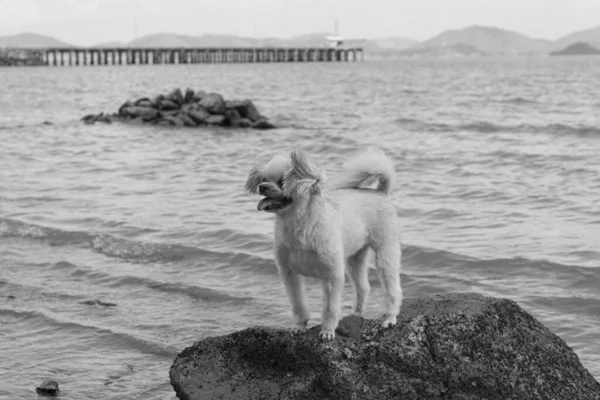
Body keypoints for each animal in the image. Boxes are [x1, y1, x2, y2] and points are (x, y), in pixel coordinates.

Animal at [244, 148, 404, 340]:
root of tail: (380, 193)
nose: (262, 187)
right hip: (355, 259)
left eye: (282, 181)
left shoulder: (332, 276)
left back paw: (390, 318)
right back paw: (356, 314)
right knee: (363, 287)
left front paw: (327, 330)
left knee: (393, 289)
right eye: (263, 178)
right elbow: (298, 304)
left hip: (385, 254)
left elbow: (330, 307)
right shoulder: (289, 275)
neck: (300, 227)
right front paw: (300, 326)